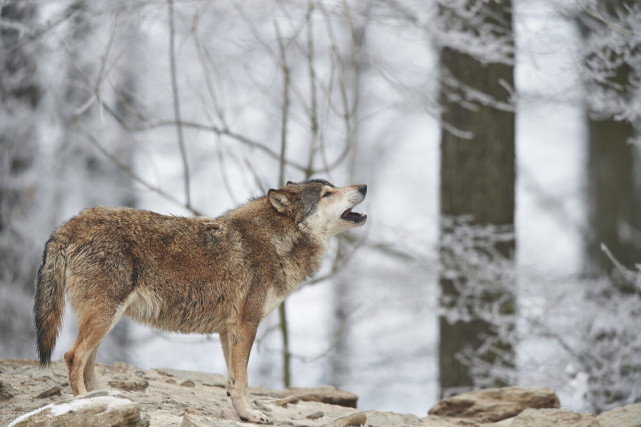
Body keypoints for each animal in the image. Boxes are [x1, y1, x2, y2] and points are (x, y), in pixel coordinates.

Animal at [32, 179, 368, 422]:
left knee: (88, 362)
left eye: (333, 186)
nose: (364, 186)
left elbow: (234, 380)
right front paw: (251, 414)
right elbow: (242, 379)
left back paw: (107, 400)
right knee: (73, 357)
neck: (276, 240)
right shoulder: (247, 324)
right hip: (105, 315)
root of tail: (71, 223)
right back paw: (83, 403)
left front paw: (242, 412)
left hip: (107, 318)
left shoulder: (228, 330)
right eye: (326, 193)